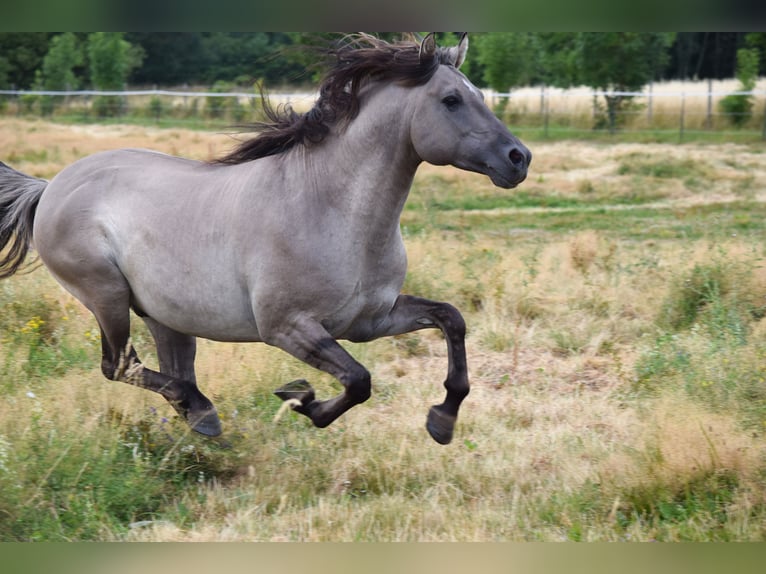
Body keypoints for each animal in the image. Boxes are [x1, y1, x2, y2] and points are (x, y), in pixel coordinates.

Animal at [0, 33, 530, 445]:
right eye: (451, 100)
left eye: (479, 94)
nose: (518, 158)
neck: (333, 210)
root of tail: (50, 187)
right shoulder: (287, 327)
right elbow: (359, 381)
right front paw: (302, 400)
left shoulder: (372, 319)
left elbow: (451, 319)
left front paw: (442, 421)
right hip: (106, 297)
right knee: (120, 366)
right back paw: (200, 408)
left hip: (165, 316)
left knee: (165, 369)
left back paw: (201, 416)